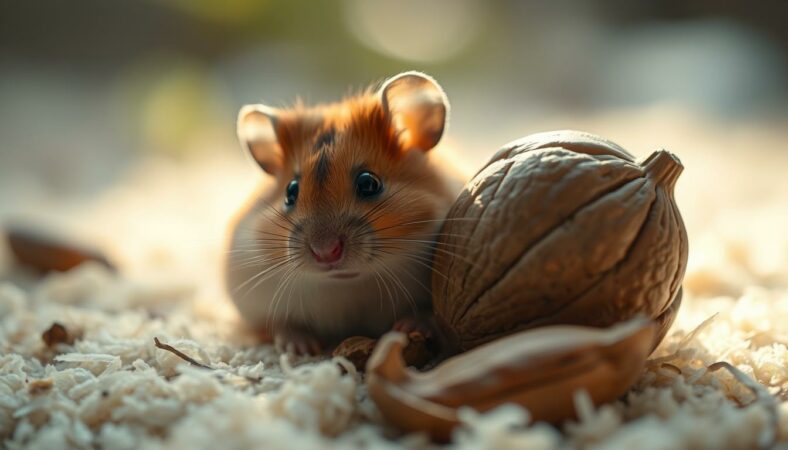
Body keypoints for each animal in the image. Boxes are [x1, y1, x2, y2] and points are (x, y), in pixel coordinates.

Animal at [225, 71, 468, 355]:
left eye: (369, 183)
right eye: (290, 192)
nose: (325, 252)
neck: (348, 283)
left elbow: (427, 314)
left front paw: (410, 326)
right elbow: (281, 324)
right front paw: (301, 349)